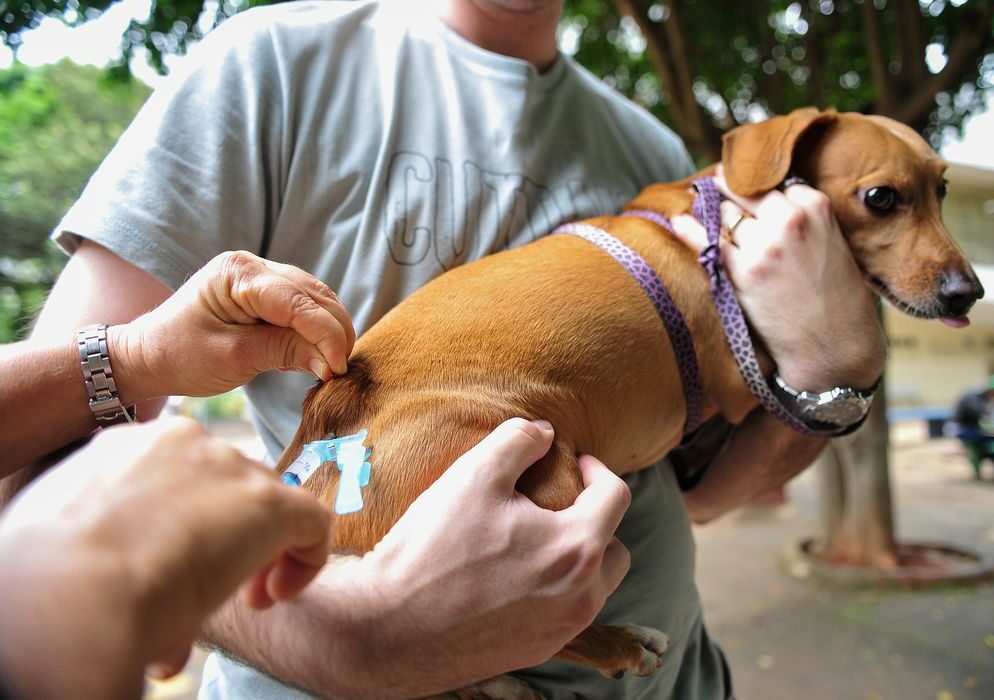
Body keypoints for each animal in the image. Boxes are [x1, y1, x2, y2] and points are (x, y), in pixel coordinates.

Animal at [276, 109, 980, 684]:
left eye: (943, 190)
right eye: (881, 198)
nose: (969, 292)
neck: (713, 218)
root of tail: (330, 418)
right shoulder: (743, 383)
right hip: (549, 478)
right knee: (519, 636)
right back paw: (615, 644)